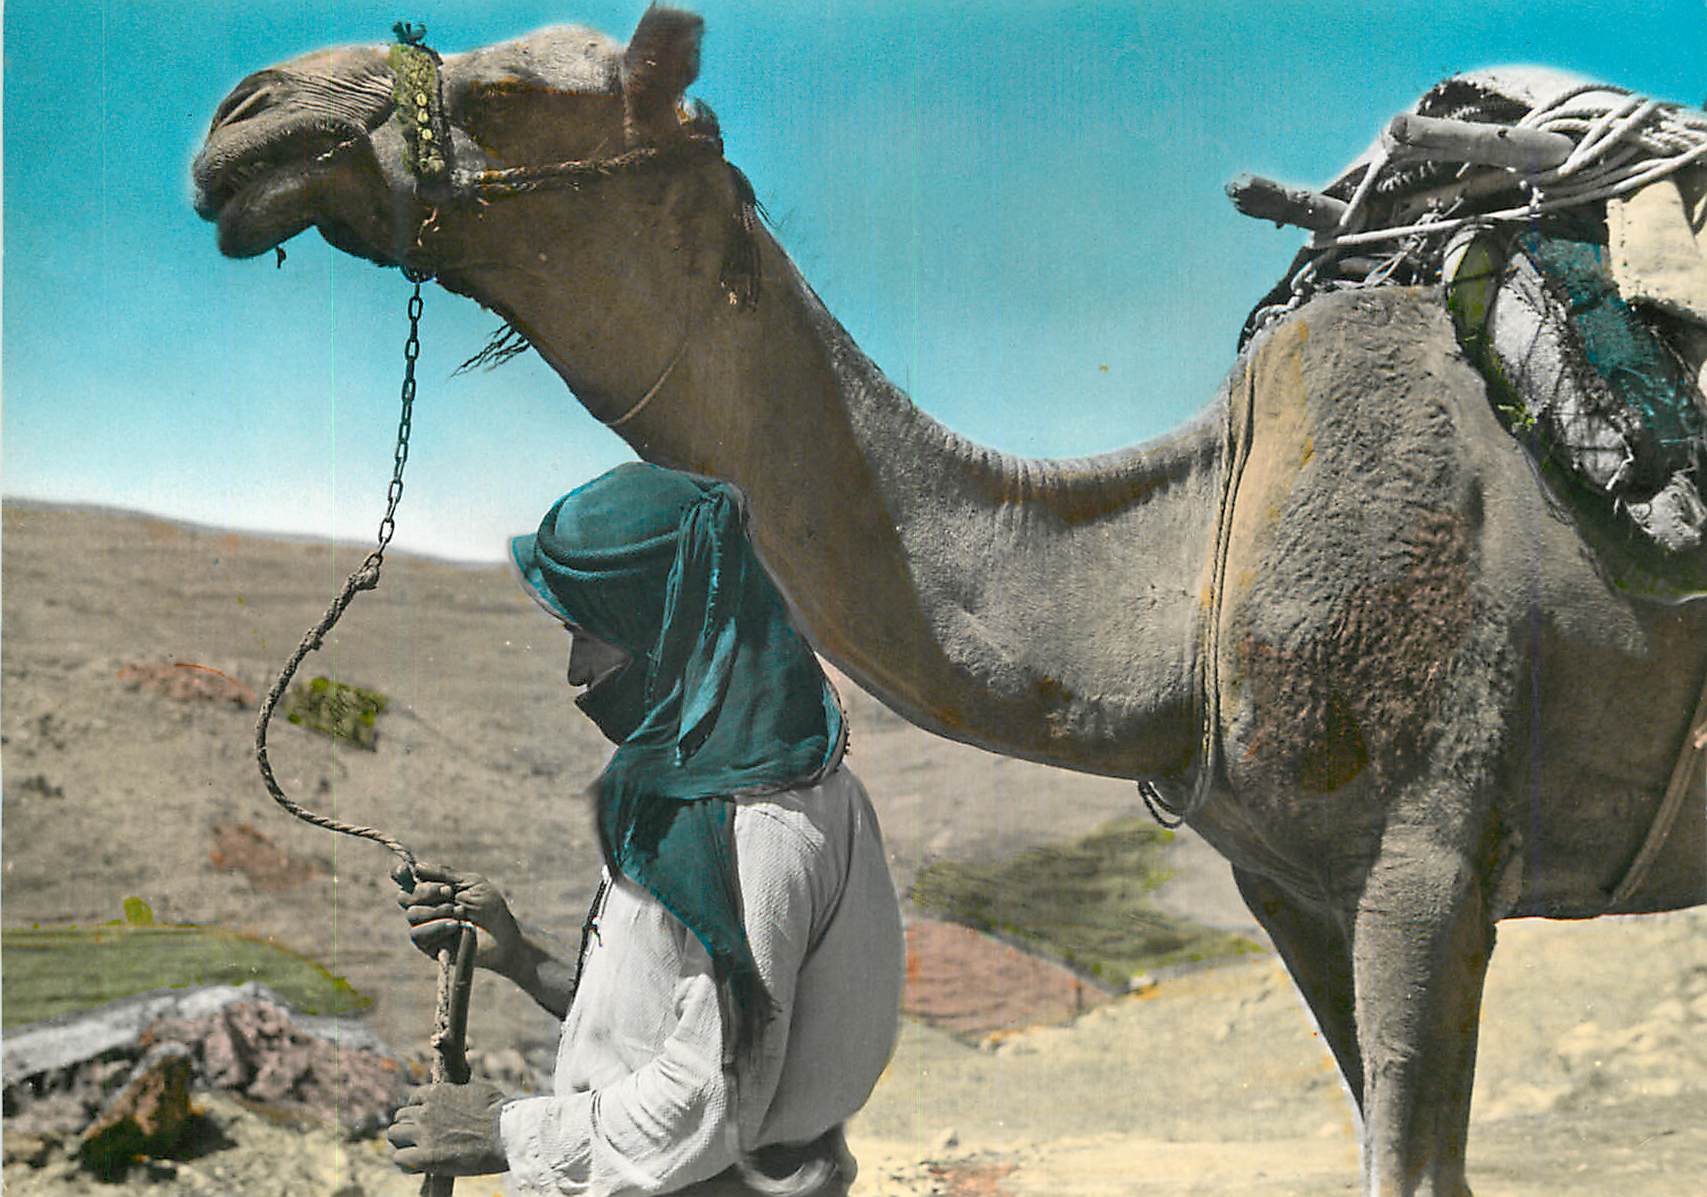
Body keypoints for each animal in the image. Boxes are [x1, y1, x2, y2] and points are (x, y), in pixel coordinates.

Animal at [190, 9, 1707, 1195]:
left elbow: (1416, 1164)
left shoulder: (1429, 863)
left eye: (506, 93)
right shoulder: (1283, 884)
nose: (243, 120)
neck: (1197, 564)